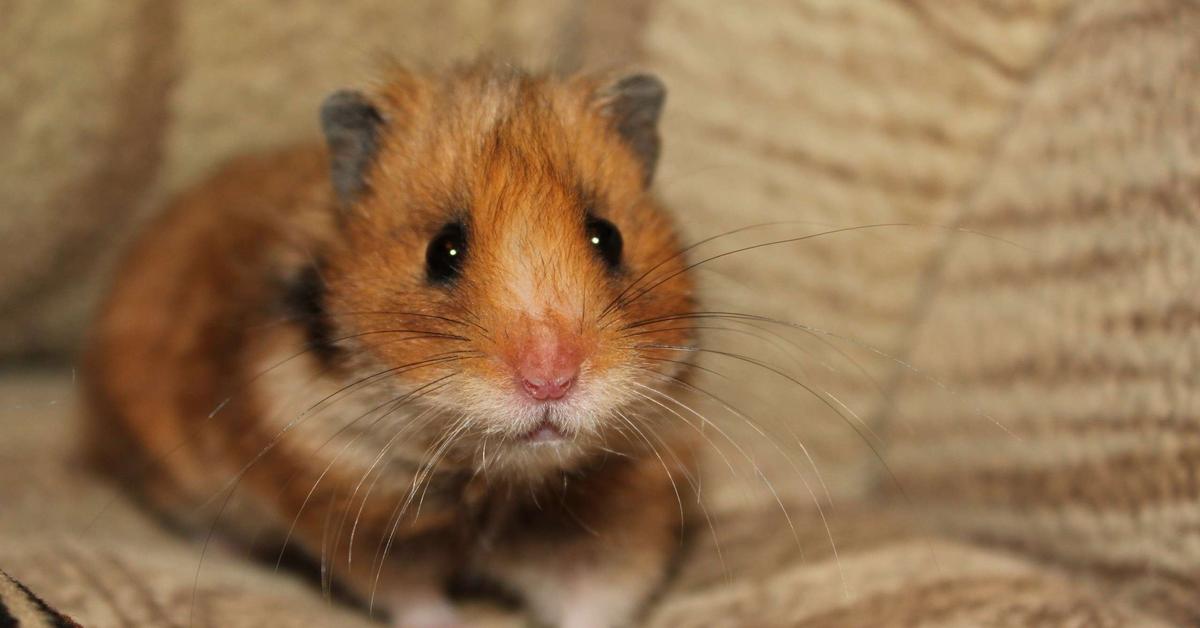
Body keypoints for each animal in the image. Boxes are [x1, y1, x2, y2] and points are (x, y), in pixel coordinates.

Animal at [84, 62, 700, 628]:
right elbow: (413, 599)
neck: (497, 482)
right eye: (441, 251)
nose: (550, 380)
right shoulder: (355, 515)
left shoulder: (618, 515)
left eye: (608, 237)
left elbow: (592, 602)